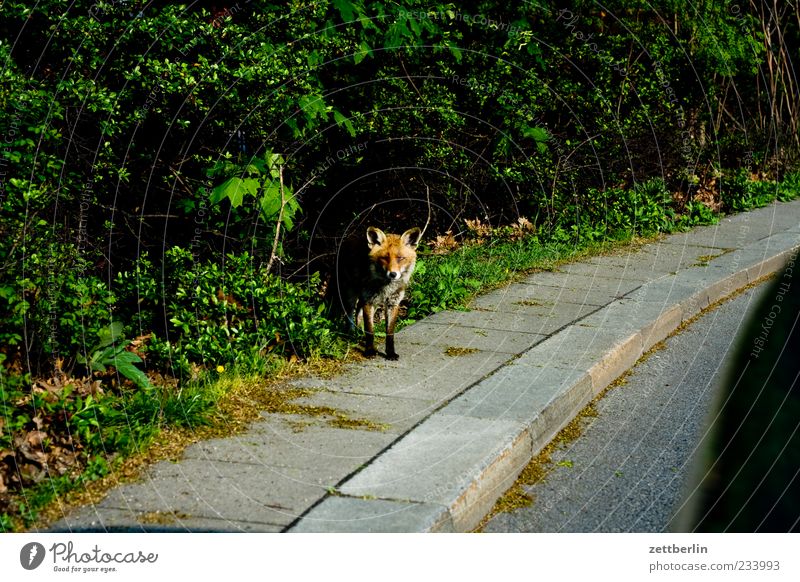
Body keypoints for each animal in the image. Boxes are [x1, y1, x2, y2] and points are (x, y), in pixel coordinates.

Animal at [332, 227, 422, 360]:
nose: (393, 274)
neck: (386, 286)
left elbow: (389, 333)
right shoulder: (369, 301)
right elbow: (370, 330)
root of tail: (348, 239)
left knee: (358, 313)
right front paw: (369, 351)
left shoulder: (392, 304)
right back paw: (352, 334)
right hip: (351, 295)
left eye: (400, 258)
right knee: (350, 315)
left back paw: (359, 332)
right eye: (385, 258)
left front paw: (390, 353)